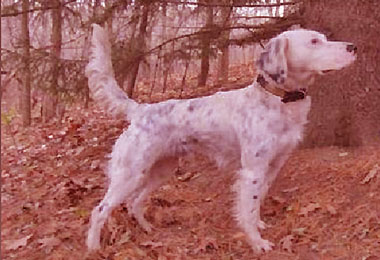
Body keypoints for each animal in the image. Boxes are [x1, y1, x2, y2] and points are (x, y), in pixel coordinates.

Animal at [85, 23, 356, 252]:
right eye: (314, 42)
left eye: (323, 38)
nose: (352, 47)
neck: (276, 100)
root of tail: (140, 110)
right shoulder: (252, 171)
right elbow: (248, 208)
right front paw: (257, 242)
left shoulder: (273, 166)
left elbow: (258, 201)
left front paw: (258, 226)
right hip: (130, 173)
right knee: (99, 210)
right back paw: (93, 247)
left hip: (161, 170)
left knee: (134, 202)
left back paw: (147, 229)